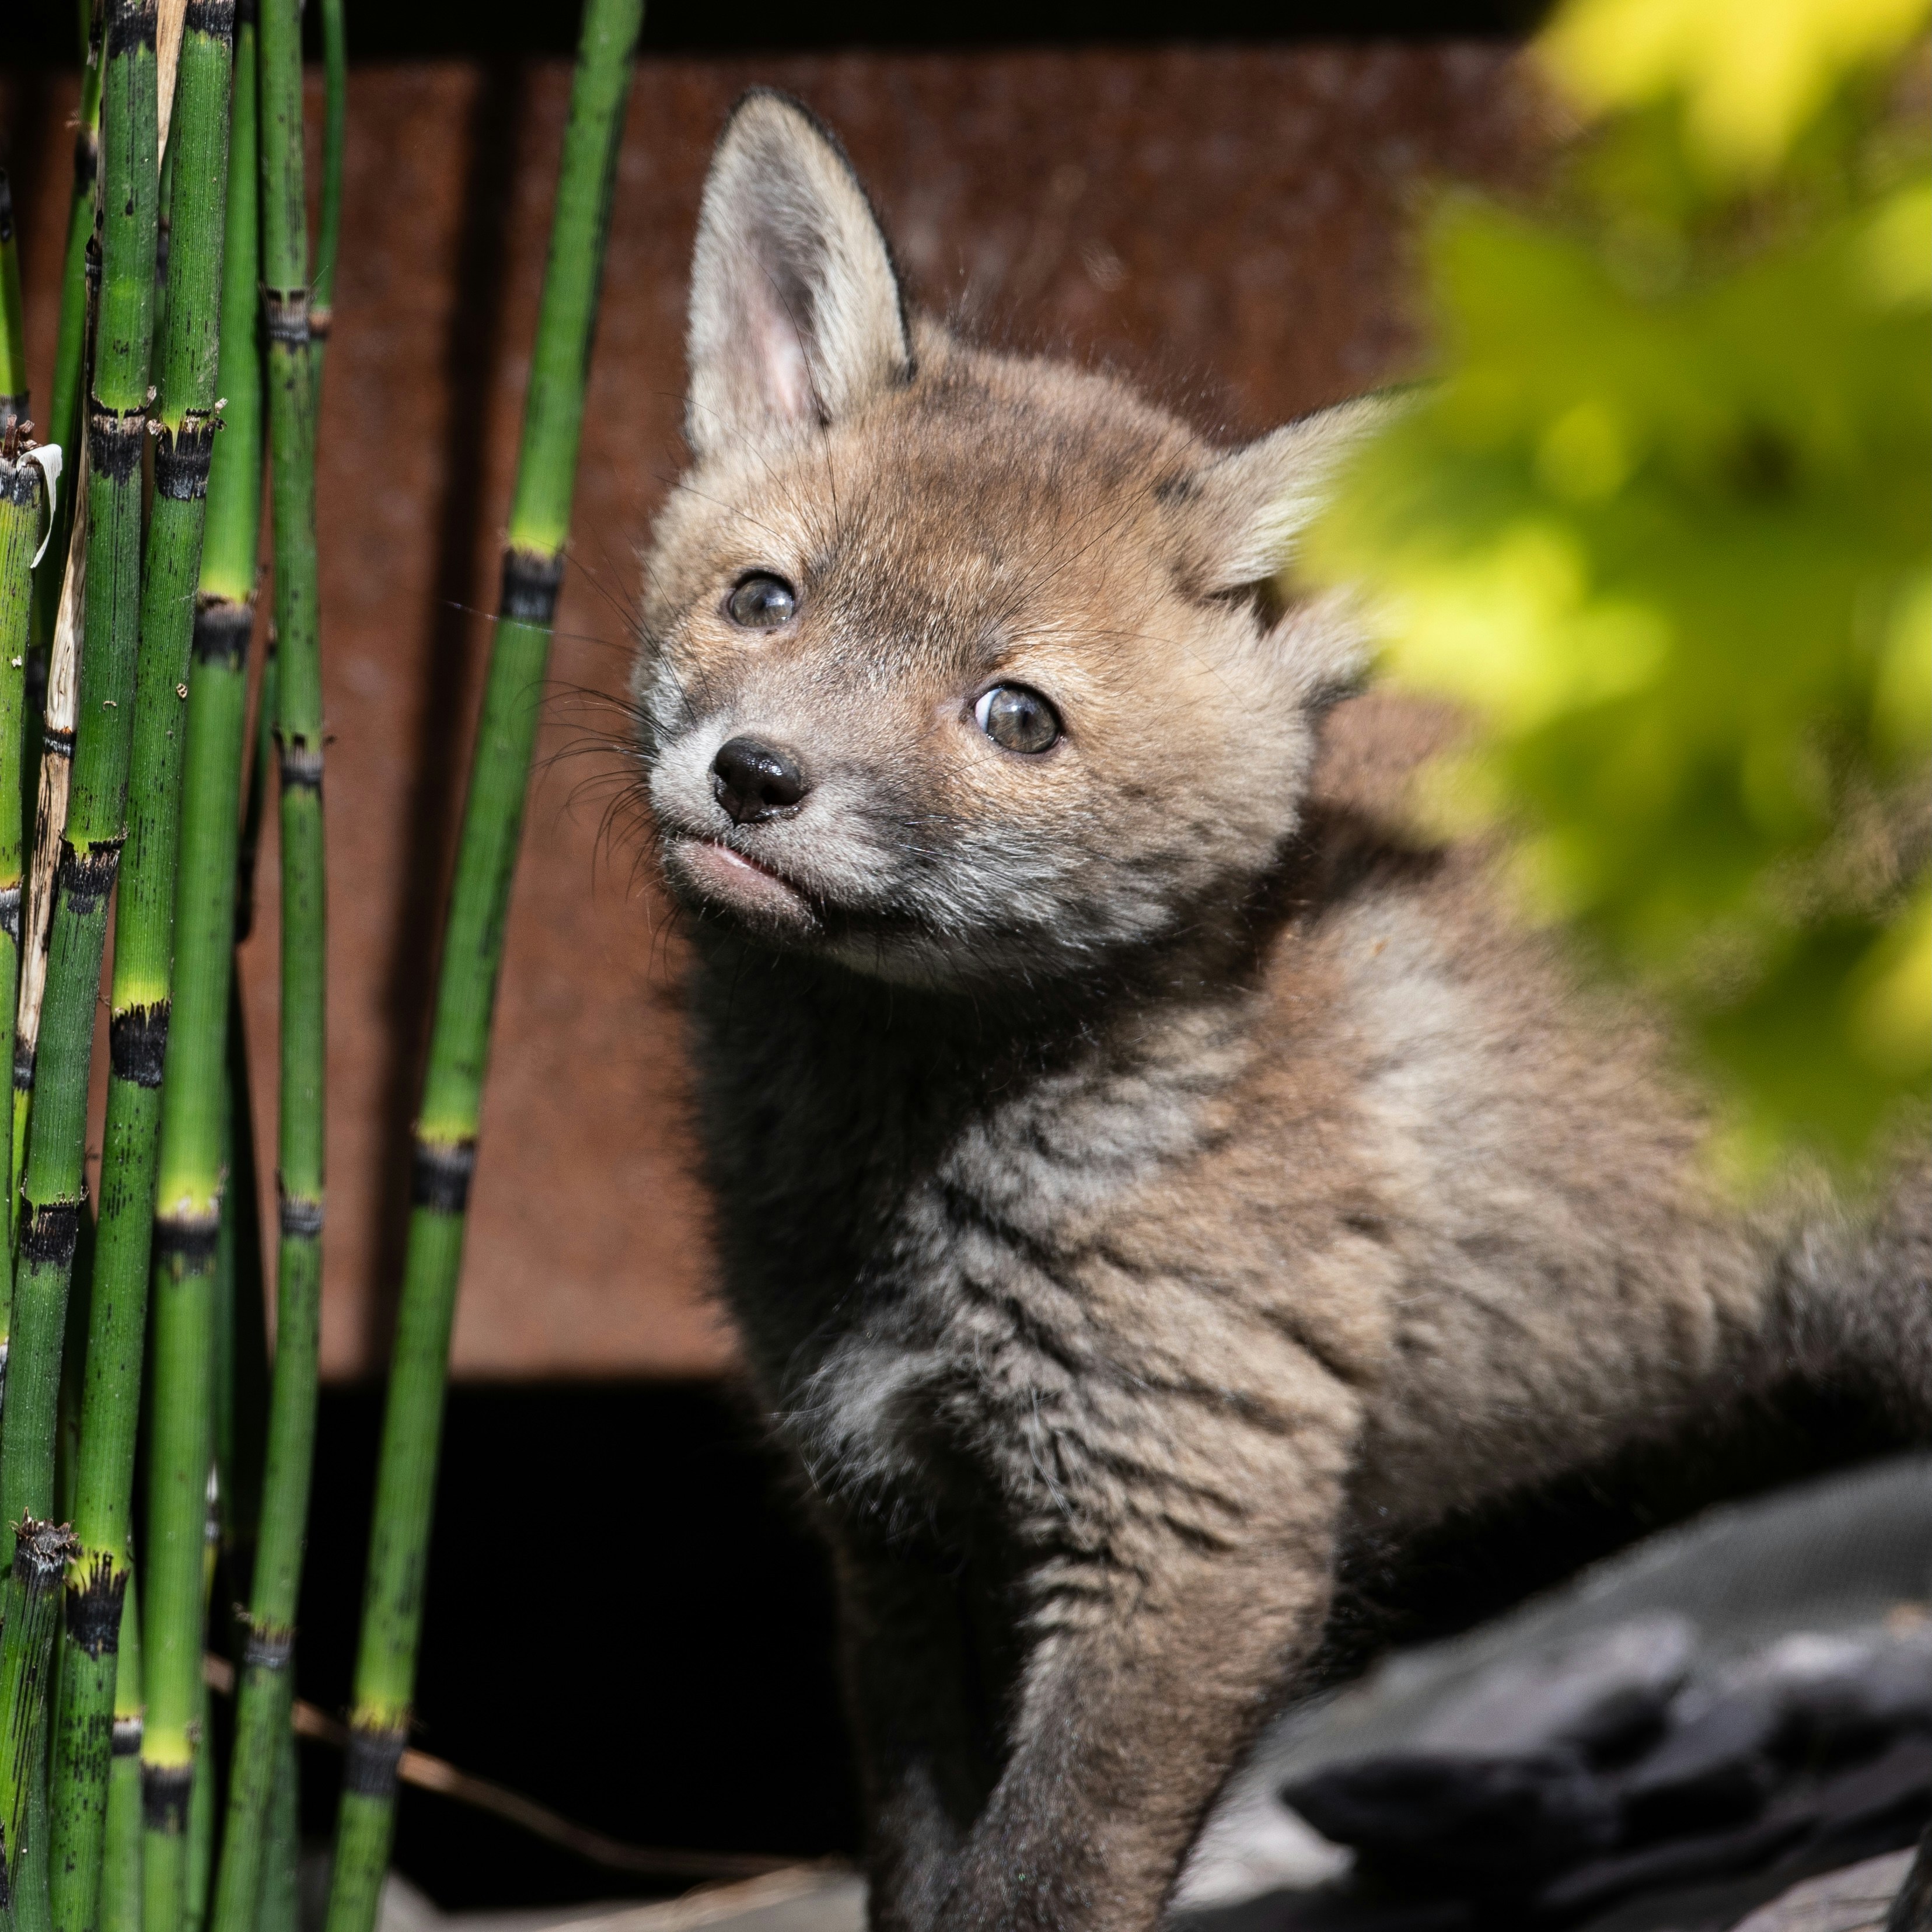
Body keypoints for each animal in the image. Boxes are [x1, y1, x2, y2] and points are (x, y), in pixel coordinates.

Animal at [631, 91, 1932, 1932]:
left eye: (1014, 715)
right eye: (765, 598)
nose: (754, 778)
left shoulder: (1193, 1524)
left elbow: (1044, 1880)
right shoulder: (897, 1526)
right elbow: (926, 1869)